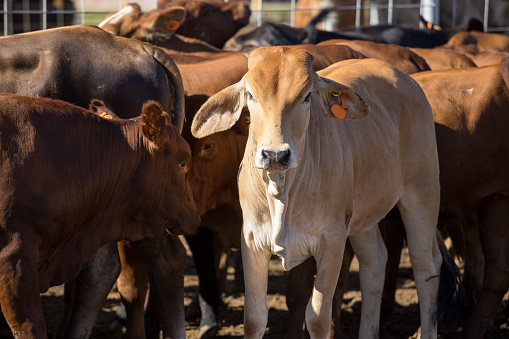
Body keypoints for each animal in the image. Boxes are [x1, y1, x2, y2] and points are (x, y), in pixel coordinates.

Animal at [191, 46, 460, 338]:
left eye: (306, 96)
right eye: (251, 94)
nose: (275, 155)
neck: (282, 194)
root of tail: (406, 79)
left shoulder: (332, 242)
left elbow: (318, 317)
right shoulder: (251, 241)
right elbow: (253, 318)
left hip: (422, 193)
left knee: (426, 268)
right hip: (363, 216)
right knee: (375, 263)